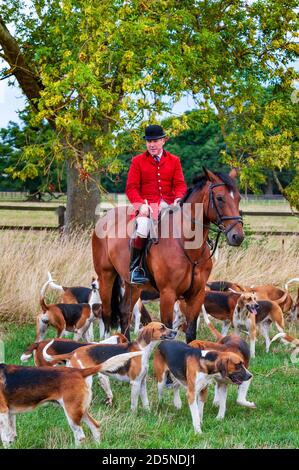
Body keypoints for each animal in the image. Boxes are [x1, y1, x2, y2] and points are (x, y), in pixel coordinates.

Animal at [92, 169, 245, 342]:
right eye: (219, 198)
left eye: (238, 198)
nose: (238, 236)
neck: (187, 245)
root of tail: (105, 218)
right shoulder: (167, 294)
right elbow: (168, 331)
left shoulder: (197, 294)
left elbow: (191, 332)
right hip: (106, 276)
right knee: (107, 313)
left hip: (132, 284)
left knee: (125, 312)